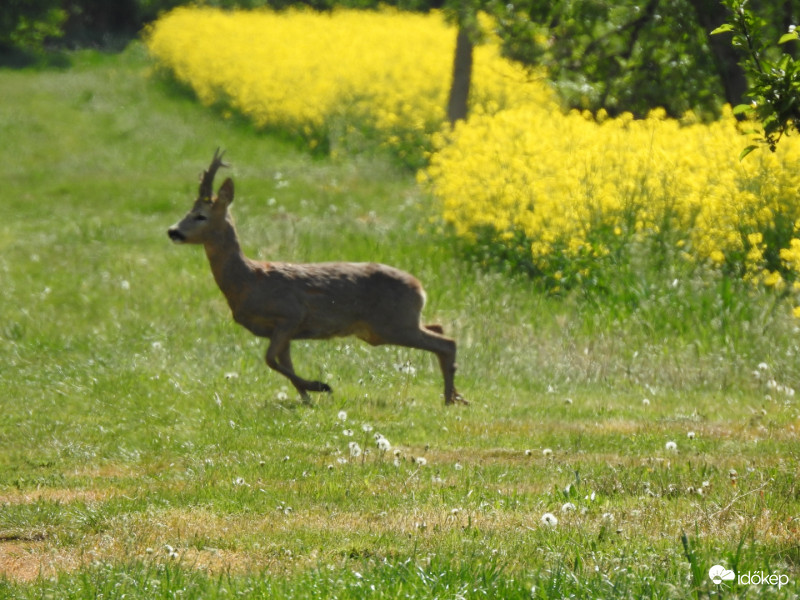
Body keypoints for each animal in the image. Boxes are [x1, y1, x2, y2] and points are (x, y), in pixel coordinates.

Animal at [170, 148, 468, 406]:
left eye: (200, 216)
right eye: (187, 212)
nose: (173, 231)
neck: (246, 282)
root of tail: (420, 287)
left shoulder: (290, 314)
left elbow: (270, 359)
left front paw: (319, 386)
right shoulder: (283, 330)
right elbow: (281, 362)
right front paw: (306, 396)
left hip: (393, 323)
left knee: (447, 342)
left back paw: (449, 398)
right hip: (392, 324)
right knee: (440, 329)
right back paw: (455, 395)